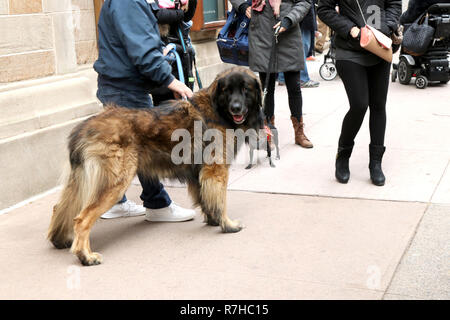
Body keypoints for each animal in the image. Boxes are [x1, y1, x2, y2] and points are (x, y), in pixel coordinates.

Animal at [48, 67, 264, 264]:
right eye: (227, 90)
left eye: (245, 89)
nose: (236, 108)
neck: (218, 110)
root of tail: (82, 129)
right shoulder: (215, 170)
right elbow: (220, 202)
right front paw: (228, 224)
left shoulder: (200, 173)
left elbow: (207, 200)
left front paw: (213, 220)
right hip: (115, 182)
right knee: (81, 219)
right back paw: (85, 256)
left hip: (80, 181)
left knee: (60, 208)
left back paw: (60, 240)